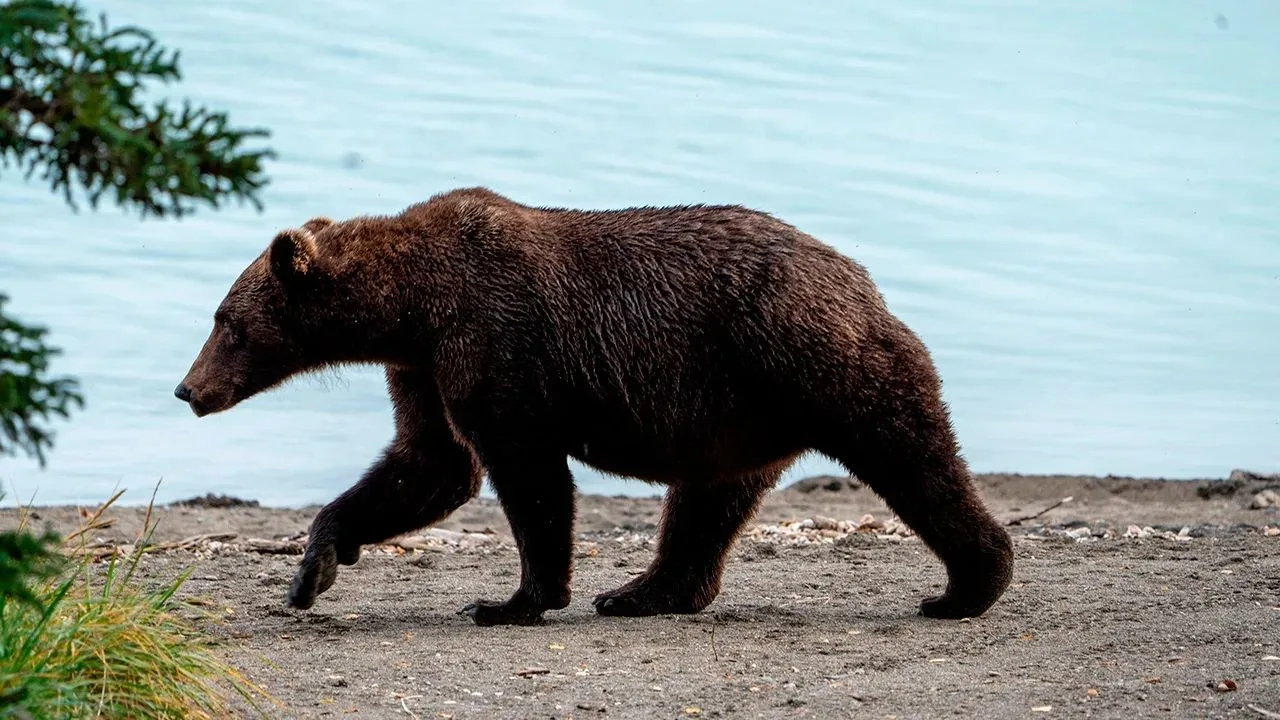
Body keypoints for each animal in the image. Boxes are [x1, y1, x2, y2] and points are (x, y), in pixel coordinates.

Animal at [174, 187, 1014, 626]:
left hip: (811, 359)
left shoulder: (497, 340)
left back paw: (966, 585)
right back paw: (644, 591)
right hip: (734, 413)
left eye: (227, 321)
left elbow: (527, 474)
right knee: (707, 504)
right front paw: (314, 564)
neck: (413, 305)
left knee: (911, 453)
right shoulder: (425, 366)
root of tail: (862, 281)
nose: (188, 389)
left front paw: (513, 599)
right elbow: (429, 464)